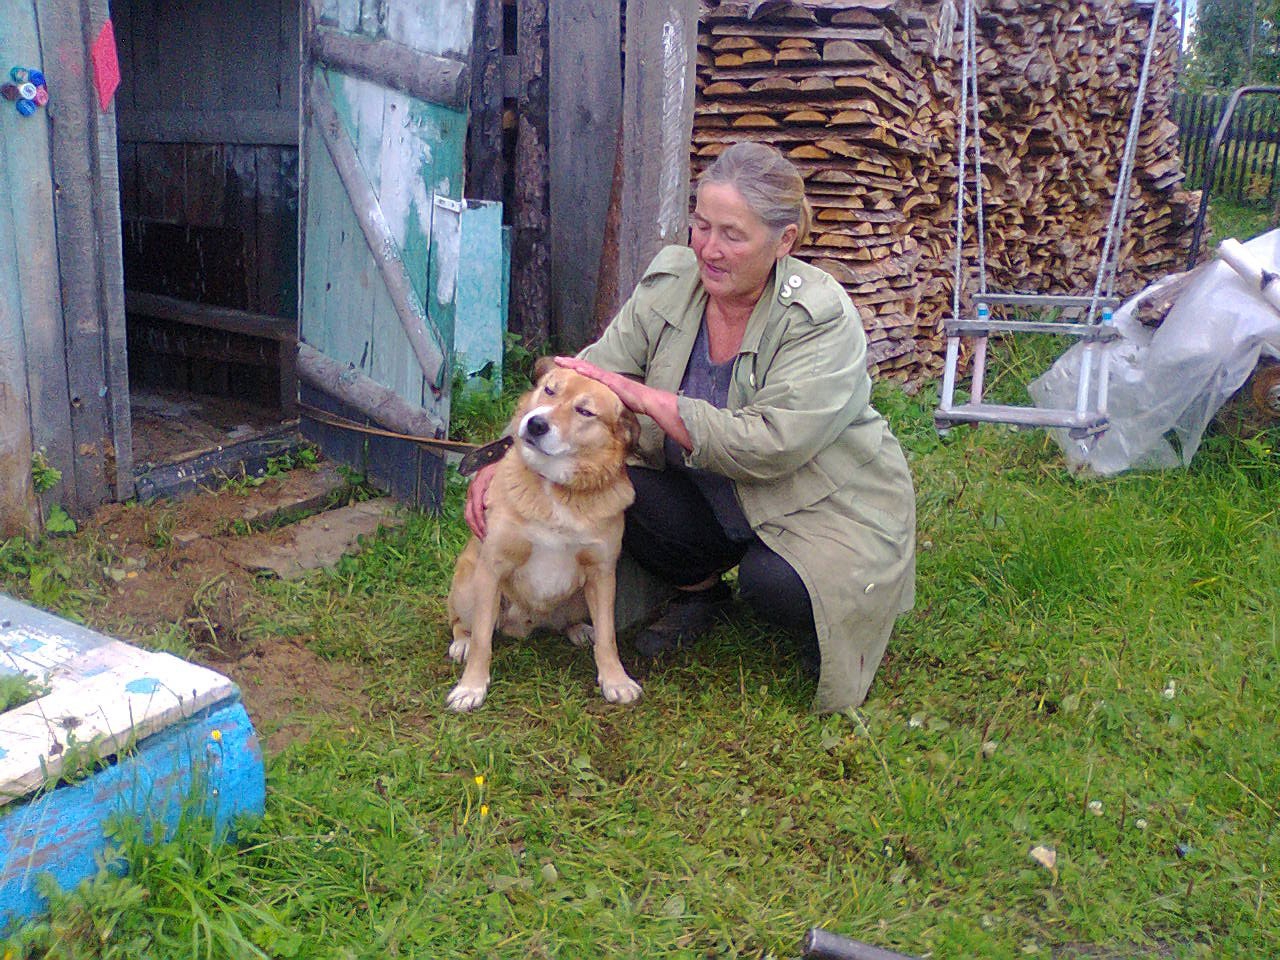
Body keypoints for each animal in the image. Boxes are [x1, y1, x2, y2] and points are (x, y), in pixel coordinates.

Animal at [448, 360, 645, 716]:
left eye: (584, 410)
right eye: (550, 390)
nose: (536, 423)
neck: (556, 488)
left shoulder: (602, 573)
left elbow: (608, 636)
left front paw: (615, 679)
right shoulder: (493, 567)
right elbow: (484, 640)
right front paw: (471, 687)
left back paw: (579, 630)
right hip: (470, 587)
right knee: (463, 623)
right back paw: (462, 642)